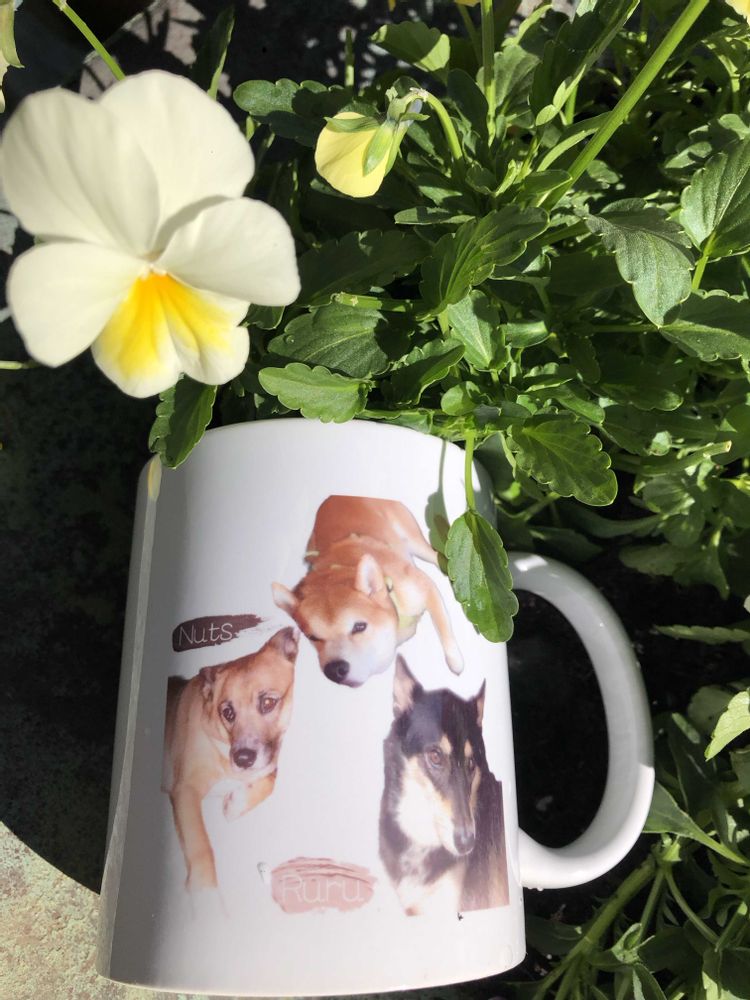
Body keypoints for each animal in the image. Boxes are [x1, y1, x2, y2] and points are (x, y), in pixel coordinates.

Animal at [162, 627, 298, 892]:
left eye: (268, 702)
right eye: (227, 712)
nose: (243, 759)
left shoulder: (269, 764)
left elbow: (270, 780)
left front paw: (236, 803)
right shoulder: (186, 789)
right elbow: (201, 846)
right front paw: (205, 892)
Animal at [272, 495, 463, 687]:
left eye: (359, 626)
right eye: (312, 637)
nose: (334, 669)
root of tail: (334, 496)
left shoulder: (425, 587)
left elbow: (443, 627)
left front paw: (455, 660)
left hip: (414, 542)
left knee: (436, 556)